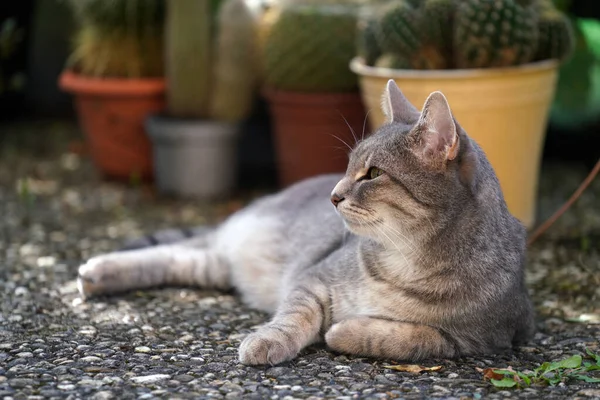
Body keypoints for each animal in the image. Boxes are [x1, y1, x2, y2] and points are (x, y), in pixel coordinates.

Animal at [76, 80, 536, 366]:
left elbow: (411, 337)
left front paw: (346, 331)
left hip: (215, 265)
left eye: (372, 174)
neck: (408, 261)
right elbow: (293, 316)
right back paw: (98, 270)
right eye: (348, 166)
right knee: (171, 249)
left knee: (175, 258)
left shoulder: (481, 339)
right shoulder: (312, 279)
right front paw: (269, 340)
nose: (333, 194)